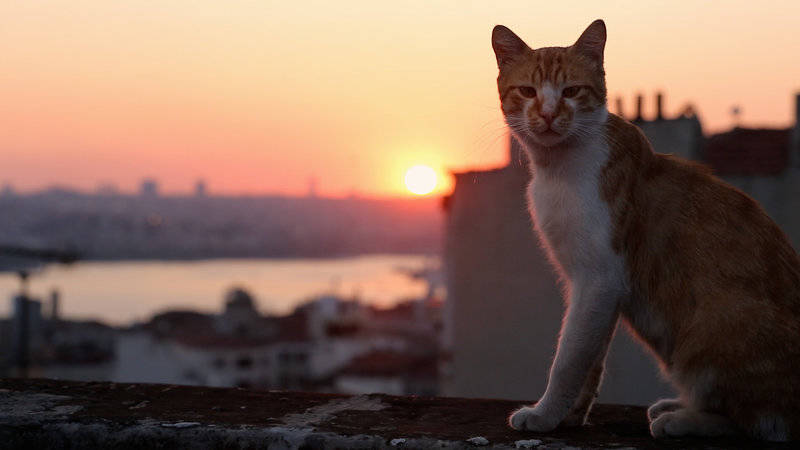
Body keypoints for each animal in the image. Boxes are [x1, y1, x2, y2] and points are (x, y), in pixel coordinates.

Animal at [490, 20, 800, 440]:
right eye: (528, 91)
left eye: (571, 91)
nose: (550, 114)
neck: (558, 171)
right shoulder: (595, 288)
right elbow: (590, 358)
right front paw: (571, 415)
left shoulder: (600, 277)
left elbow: (568, 358)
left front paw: (544, 414)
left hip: (718, 322)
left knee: (762, 422)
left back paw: (683, 419)